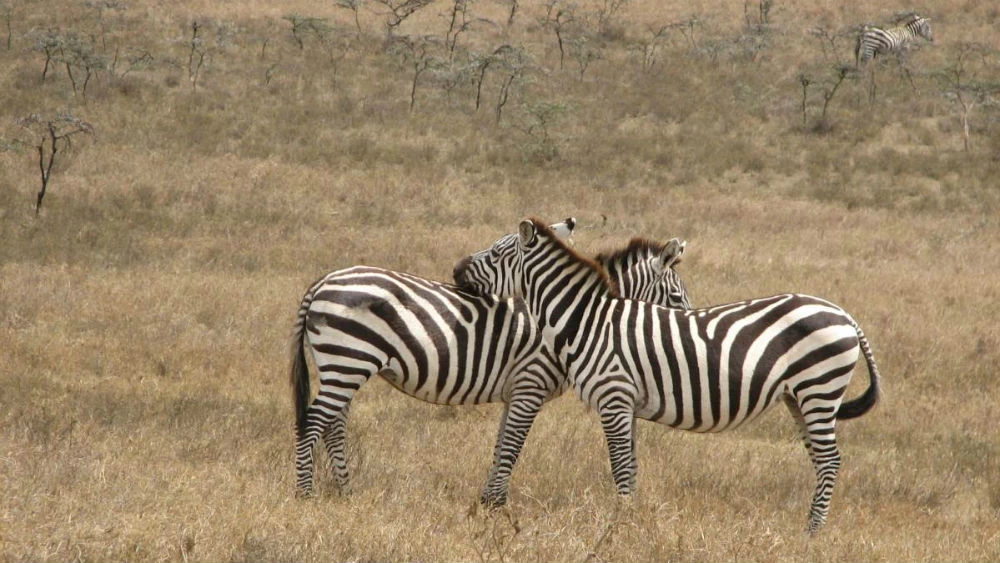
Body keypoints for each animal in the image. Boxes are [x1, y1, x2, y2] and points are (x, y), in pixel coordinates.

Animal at [292, 220, 692, 506]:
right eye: (676, 298)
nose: (688, 336)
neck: (576, 316)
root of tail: (323, 281)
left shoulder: (516, 391)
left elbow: (502, 442)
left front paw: (487, 499)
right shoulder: (530, 384)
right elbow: (513, 443)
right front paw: (497, 504)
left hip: (342, 364)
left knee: (333, 425)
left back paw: (345, 491)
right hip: (348, 360)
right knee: (313, 423)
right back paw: (304, 495)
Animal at [454, 219, 884, 532]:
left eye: (496, 253)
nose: (456, 269)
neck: (588, 321)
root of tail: (845, 315)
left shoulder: (613, 396)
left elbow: (619, 466)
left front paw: (621, 523)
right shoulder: (625, 403)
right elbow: (630, 465)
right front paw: (631, 517)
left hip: (819, 387)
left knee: (830, 460)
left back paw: (812, 532)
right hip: (801, 397)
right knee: (819, 458)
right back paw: (808, 525)